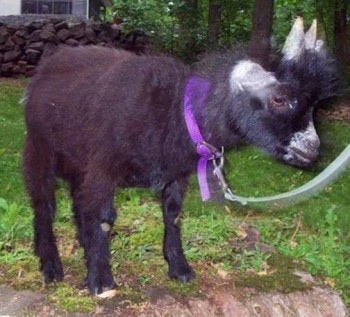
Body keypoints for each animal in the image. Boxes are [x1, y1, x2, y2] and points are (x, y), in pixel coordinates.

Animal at [22, 17, 340, 294]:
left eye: (314, 104)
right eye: (279, 98)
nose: (311, 149)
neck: (176, 110)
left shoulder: (175, 175)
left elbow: (172, 215)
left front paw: (180, 268)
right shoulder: (102, 168)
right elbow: (103, 218)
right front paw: (101, 280)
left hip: (78, 161)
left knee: (76, 203)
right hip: (39, 148)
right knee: (44, 204)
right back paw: (51, 265)